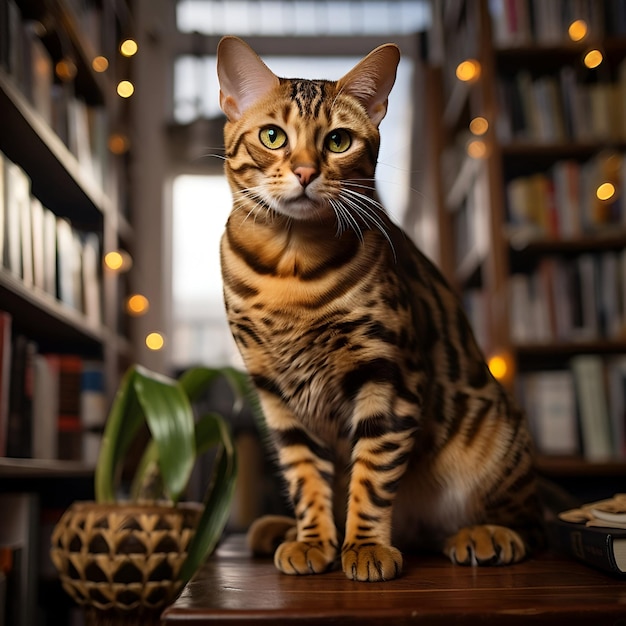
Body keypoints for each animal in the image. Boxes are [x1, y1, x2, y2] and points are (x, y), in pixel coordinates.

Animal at [216, 34, 540, 580]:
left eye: (338, 142)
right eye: (272, 136)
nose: (305, 171)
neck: (289, 268)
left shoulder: (387, 374)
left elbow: (371, 472)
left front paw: (364, 546)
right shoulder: (274, 390)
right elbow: (304, 473)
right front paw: (313, 539)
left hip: (495, 437)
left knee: (516, 519)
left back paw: (485, 533)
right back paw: (279, 529)